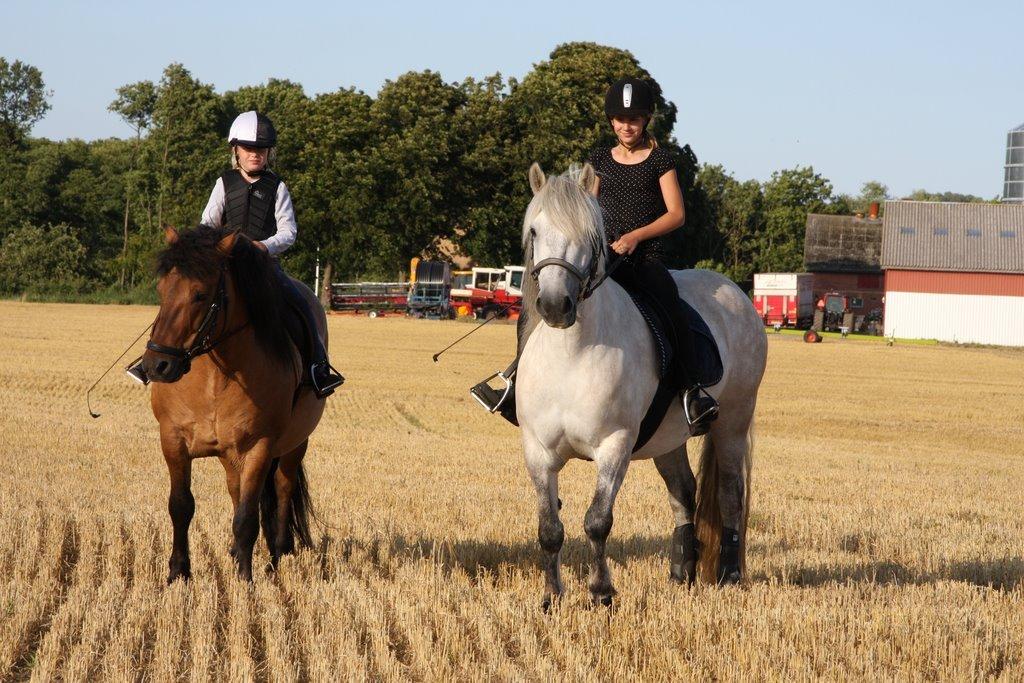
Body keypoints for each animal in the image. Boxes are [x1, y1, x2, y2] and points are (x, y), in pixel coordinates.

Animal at [140, 226, 326, 583]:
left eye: (200, 295)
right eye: (161, 289)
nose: (158, 365)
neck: (216, 374)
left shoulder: (259, 448)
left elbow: (246, 517)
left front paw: (245, 578)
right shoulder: (172, 440)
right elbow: (181, 505)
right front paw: (178, 572)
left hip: (296, 444)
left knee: (282, 489)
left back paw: (275, 559)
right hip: (231, 456)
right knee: (236, 490)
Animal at [516, 163, 768, 608]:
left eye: (591, 236)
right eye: (534, 230)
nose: (555, 306)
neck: (571, 354)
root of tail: (739, 295)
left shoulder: (614, 445)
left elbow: (597, 521)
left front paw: (601, 593)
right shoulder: (538, 451)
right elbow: (550, 529)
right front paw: (552, 597)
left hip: (733, 424)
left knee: (730, 495)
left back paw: (730, 575)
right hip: (668, 439)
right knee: (683, 492)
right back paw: (681, 573)